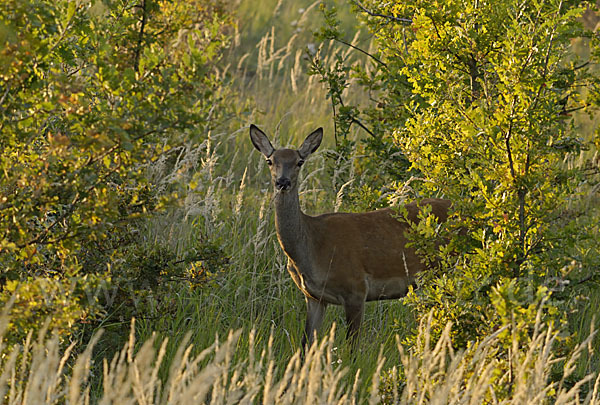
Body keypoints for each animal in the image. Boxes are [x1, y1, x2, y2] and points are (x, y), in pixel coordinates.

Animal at [248, 124, 450, 352]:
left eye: (299, 161)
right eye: (270, 160)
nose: (283, 182)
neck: (312, 246)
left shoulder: (356, 288)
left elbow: (351, 348)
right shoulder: (313, 297)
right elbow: (306, 344)